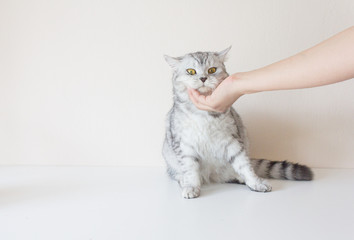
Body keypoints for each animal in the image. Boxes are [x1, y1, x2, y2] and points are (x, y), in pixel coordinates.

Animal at [162, 47, 312, 199]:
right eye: (191, 71)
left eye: (212, 70)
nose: (203, 78)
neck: (202, 113)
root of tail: (210, 176)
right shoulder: (184, 144)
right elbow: (190, 170)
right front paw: (191, 187)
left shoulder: (231, 139)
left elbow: (244, 165)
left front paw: (256, 182)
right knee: (177, 173)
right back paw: (183, 180)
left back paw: (240, 178)